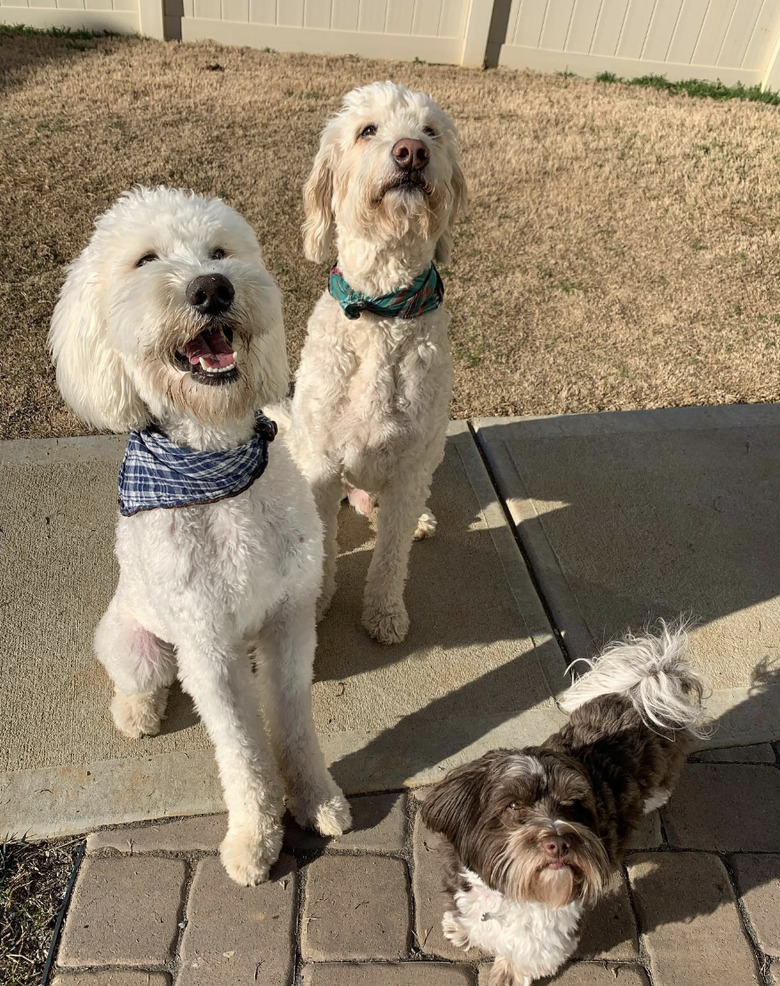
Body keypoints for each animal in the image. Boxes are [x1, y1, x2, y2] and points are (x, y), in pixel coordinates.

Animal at [48, 186, 350, 884]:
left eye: (220, 252)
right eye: (145, 260)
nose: (212, 289)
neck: (216, 471)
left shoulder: (290, 615)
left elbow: (293, 719)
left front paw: (315, 797)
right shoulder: (206, 642)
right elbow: (240, 747)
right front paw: (255, 838)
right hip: (138, 644)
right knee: (140, 679)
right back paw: (136, 713)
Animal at [290, 82, 466, 644]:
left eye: (431, 130)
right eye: (367, 130)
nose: (412, 151)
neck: (382, 313)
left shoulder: (412, 466)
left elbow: (391, 556)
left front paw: (385, 614)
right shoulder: (322, 464)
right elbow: (324, 548)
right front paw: (317, 608)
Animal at [420, 624, 708, 984]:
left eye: (572, 804)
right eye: (514, 805)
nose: (558, 842)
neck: (508, 893)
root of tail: (641, 688)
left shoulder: (554, 924)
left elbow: (532, 951)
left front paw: (509, 971)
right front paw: (463, 929)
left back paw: (655, 798)